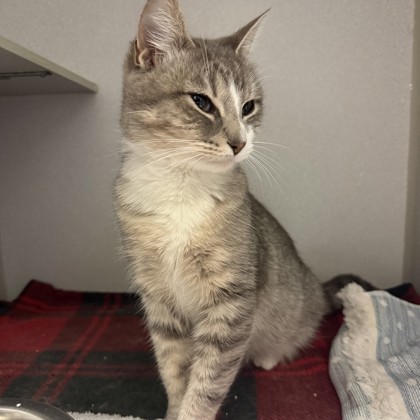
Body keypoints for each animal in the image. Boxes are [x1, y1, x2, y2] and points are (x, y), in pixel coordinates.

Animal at [114, 1, 372, 419]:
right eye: (201, 101)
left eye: (249, 107)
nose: (239, 143)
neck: (181, 190)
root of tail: (317, 289)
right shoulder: (158, 299)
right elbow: (174, 368)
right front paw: (175, 407)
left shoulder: (231, 302)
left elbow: (208, 380)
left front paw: (192, 409)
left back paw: (268, 355)